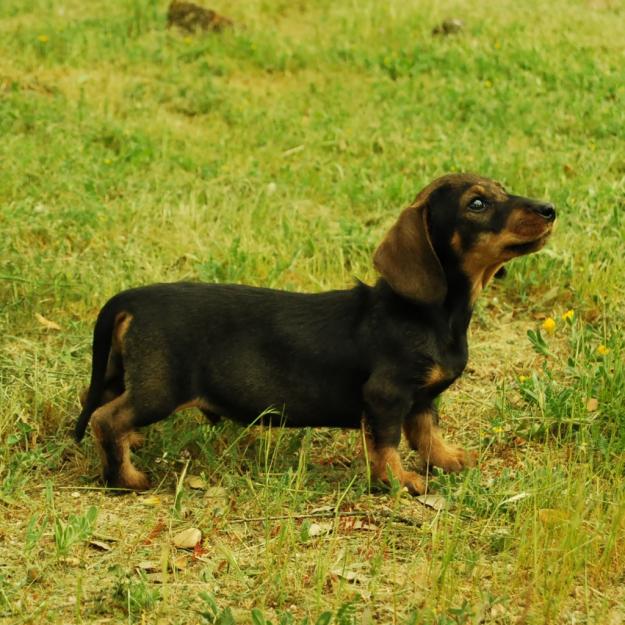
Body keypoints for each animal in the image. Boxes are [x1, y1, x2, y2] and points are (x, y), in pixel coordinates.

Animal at [74, 174, 556, 492]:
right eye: (477, 204)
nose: (551, 209)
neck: (431, 315)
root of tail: (130, 299)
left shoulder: (421, 399)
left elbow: (426, 433)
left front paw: (449, 460)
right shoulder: (387, 396)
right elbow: (387, 443)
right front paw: (399, 481)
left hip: (121, 372)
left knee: (98, 404)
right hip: (161, 388)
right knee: (105, 419)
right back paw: (126, 478)